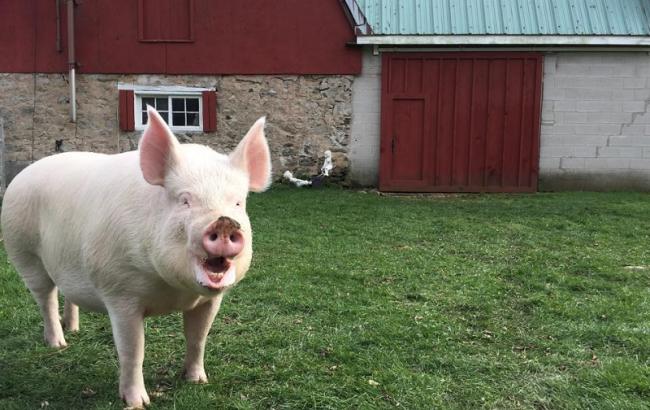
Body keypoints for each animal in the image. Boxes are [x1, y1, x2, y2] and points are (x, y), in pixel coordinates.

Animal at [0, 107, 268, 408]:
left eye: (238, 203)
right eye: (184, 200)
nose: (224, 222)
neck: (172, 292)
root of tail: (23, 174)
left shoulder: (209, 299)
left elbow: (198, 338)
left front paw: (197, 381)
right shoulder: (119, 292)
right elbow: (132, 351)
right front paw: (137, 402)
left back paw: (74, 330)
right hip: (23, 251)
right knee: (45, 297)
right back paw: (59, 344)